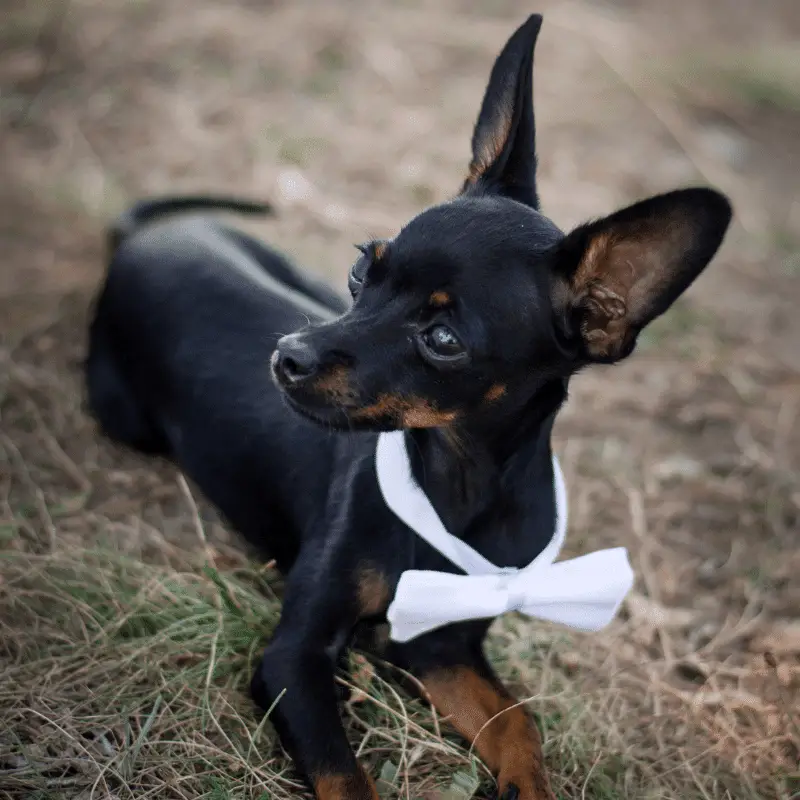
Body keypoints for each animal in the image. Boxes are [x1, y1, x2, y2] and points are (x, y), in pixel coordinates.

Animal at [86, 14, 732, 800]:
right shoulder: (294, 659)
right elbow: (345, 776)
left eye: (443, 339)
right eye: (362, 268)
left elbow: (519, 723)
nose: (287, 356)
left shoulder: (440, 646)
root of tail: (149, 236)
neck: (458, 481)